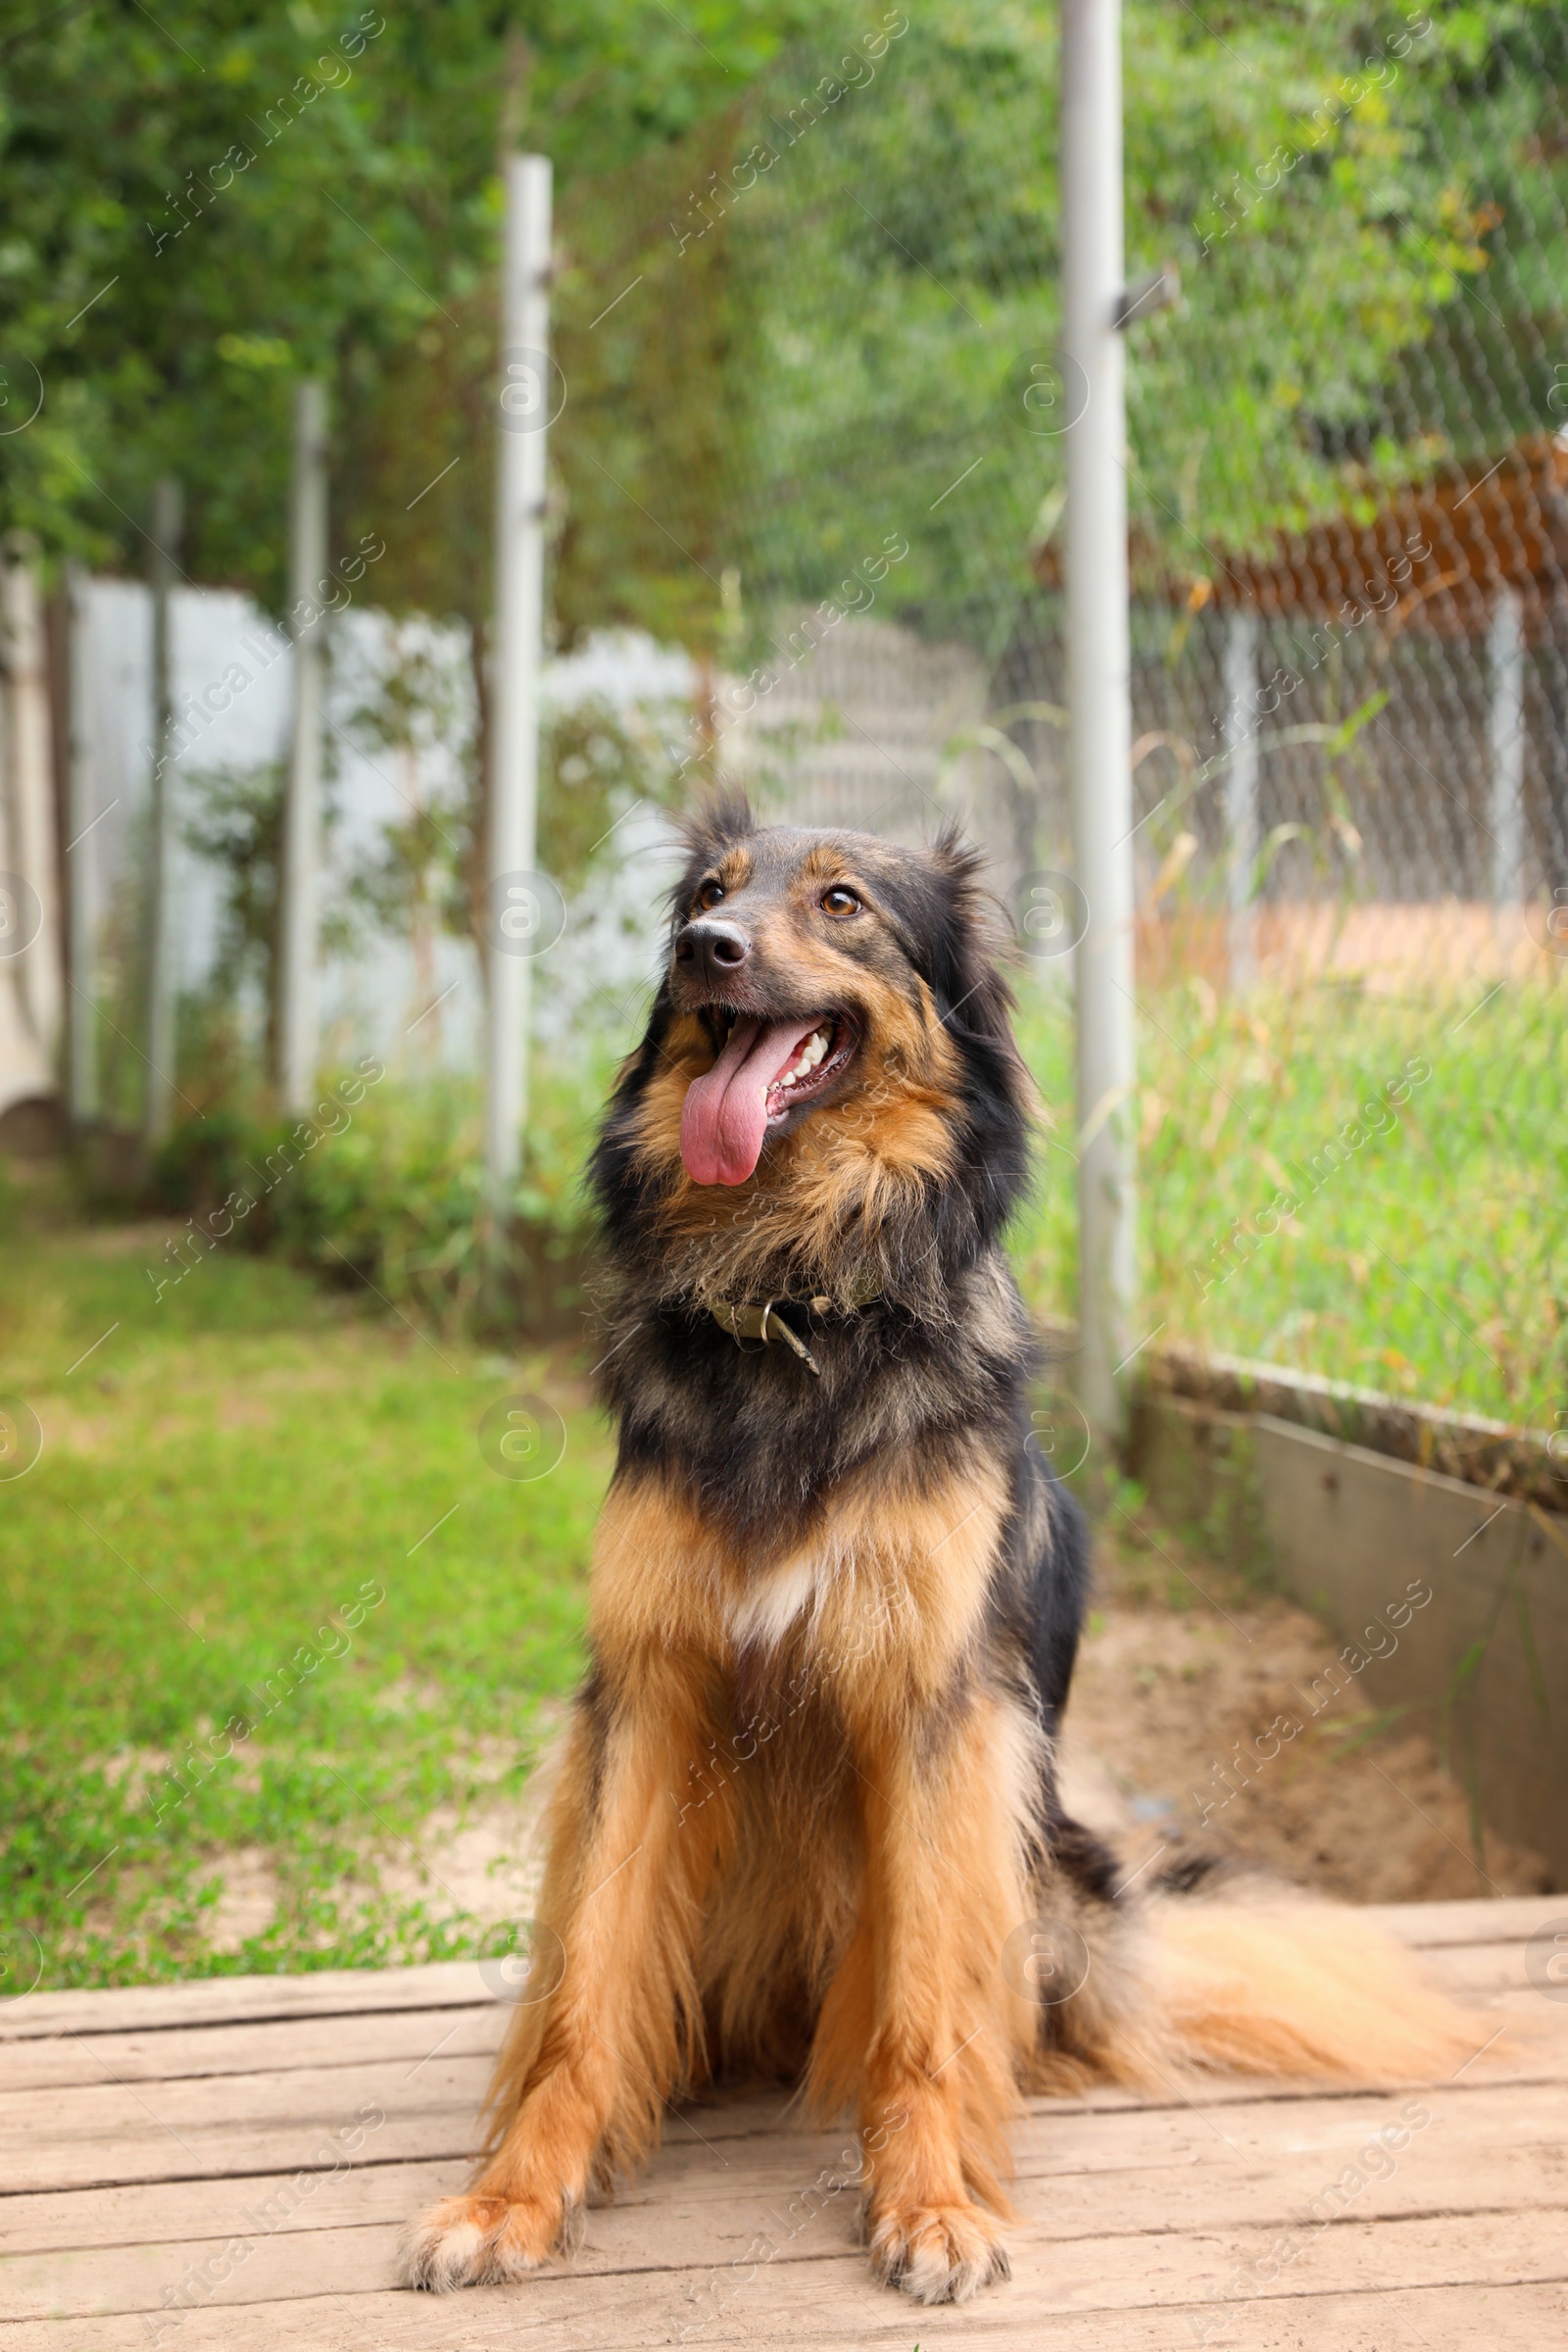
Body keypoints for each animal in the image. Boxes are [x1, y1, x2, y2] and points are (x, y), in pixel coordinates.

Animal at [402, 800, 1476, 2305]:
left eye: (842, 902)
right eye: (710, 891)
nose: (702, 947)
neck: (797, 1294)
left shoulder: (935, 1712)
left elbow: (923, 2003)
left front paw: (931, 2204)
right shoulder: (648, 1693)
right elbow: (587, 1989)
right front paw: (514, 2196)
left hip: (1034, 1862)